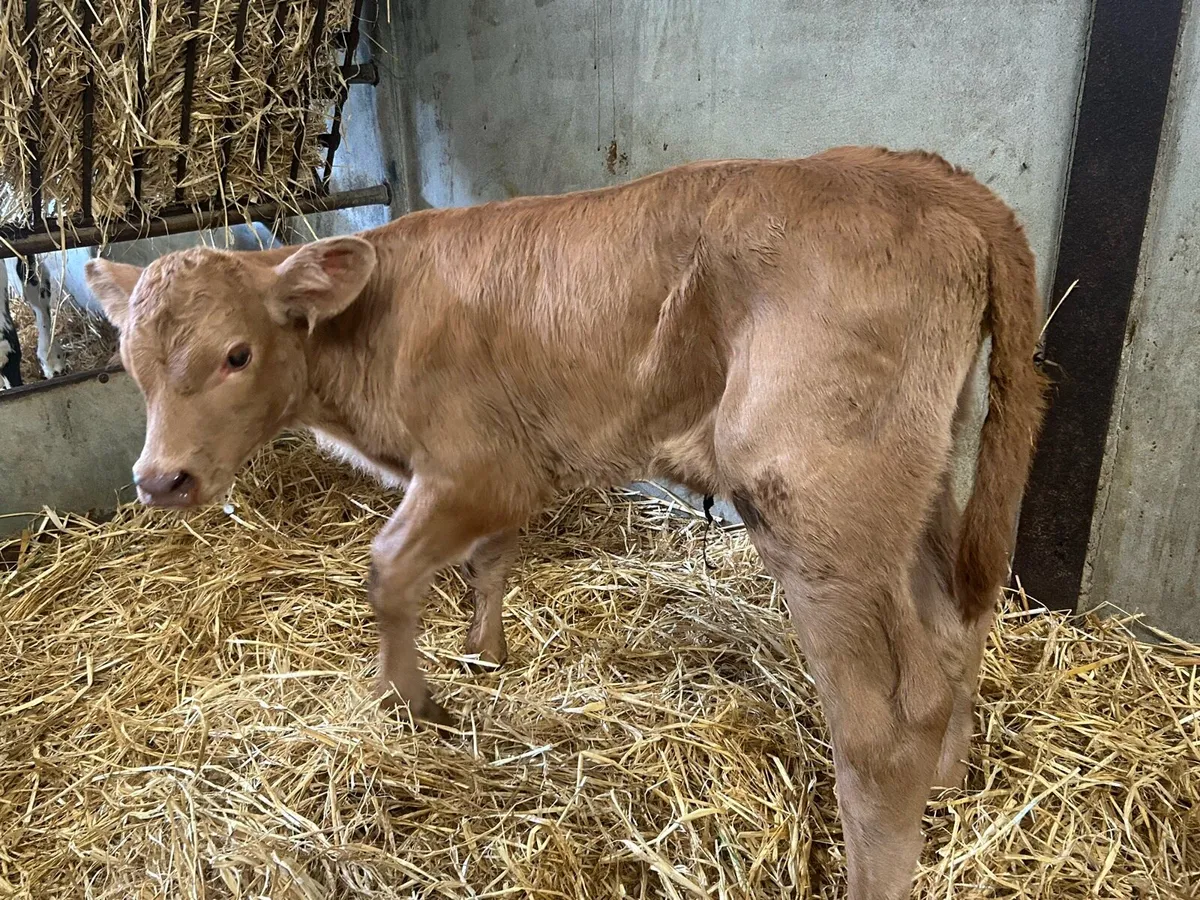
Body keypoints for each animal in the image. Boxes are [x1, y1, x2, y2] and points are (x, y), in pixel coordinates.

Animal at [84, 147, 1048, 900]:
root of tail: (923, 176)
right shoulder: (497, 479)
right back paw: (951, 777)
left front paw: (413, 701)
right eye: (131, 363)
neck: (370, 335)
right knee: (953, 624)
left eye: (236, 354)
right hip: (920, 483)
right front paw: (485, 652)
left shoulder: (477, 467)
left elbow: (390, 568)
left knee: (884, 724)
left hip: (814, 498)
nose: (161, 479)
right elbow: (486, 563)